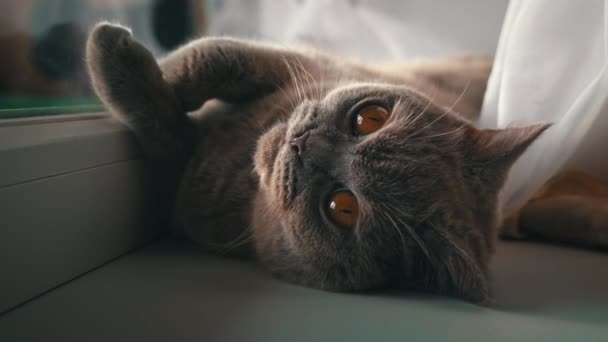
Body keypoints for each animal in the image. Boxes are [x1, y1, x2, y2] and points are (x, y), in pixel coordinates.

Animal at [88, 22, 548, 304]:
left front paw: (115, 64)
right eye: (370, 118)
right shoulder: (305, 64)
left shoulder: (188, 197)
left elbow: (165, 133)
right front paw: (133, 56)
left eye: (342, 207)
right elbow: (213, 55)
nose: (305, 145)